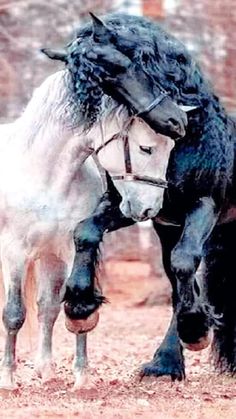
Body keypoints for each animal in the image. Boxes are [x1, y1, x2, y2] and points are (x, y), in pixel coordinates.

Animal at [46, 13, 236, 380]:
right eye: (101, 86)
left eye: (118, 66)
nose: (174, 122)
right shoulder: (136, 207)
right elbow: (85, 231)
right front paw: (79, 308)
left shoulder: (204, 205)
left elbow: (185, 260)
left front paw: (196, 330)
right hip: (170, 230)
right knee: (177, 285)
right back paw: (166, 362)